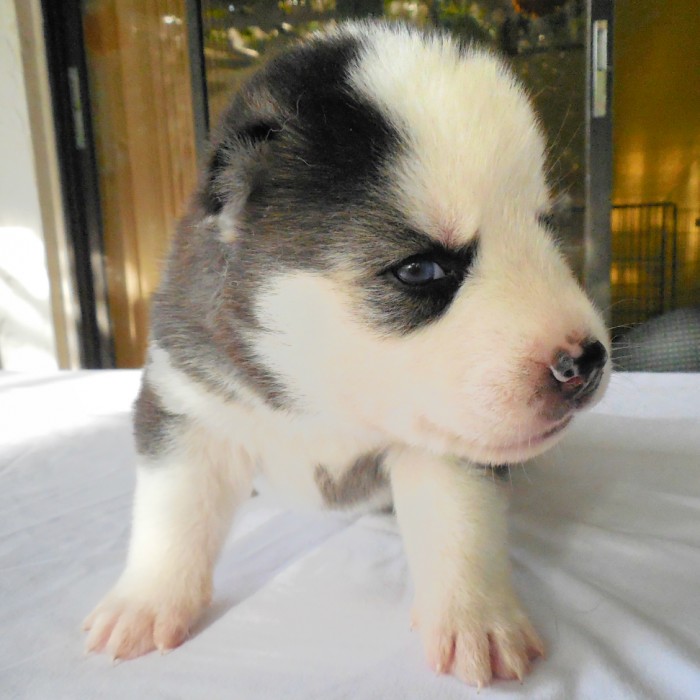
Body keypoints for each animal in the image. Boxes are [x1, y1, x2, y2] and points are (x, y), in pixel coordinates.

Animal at [85, 23, 608, 688]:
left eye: (548, 229)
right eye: (420, 269)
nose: (586, 361)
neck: (323, 393)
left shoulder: (447, 446)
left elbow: (461, 523)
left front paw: (478, 617)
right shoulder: (188, 405)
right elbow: (171, 515)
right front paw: (146, 602)